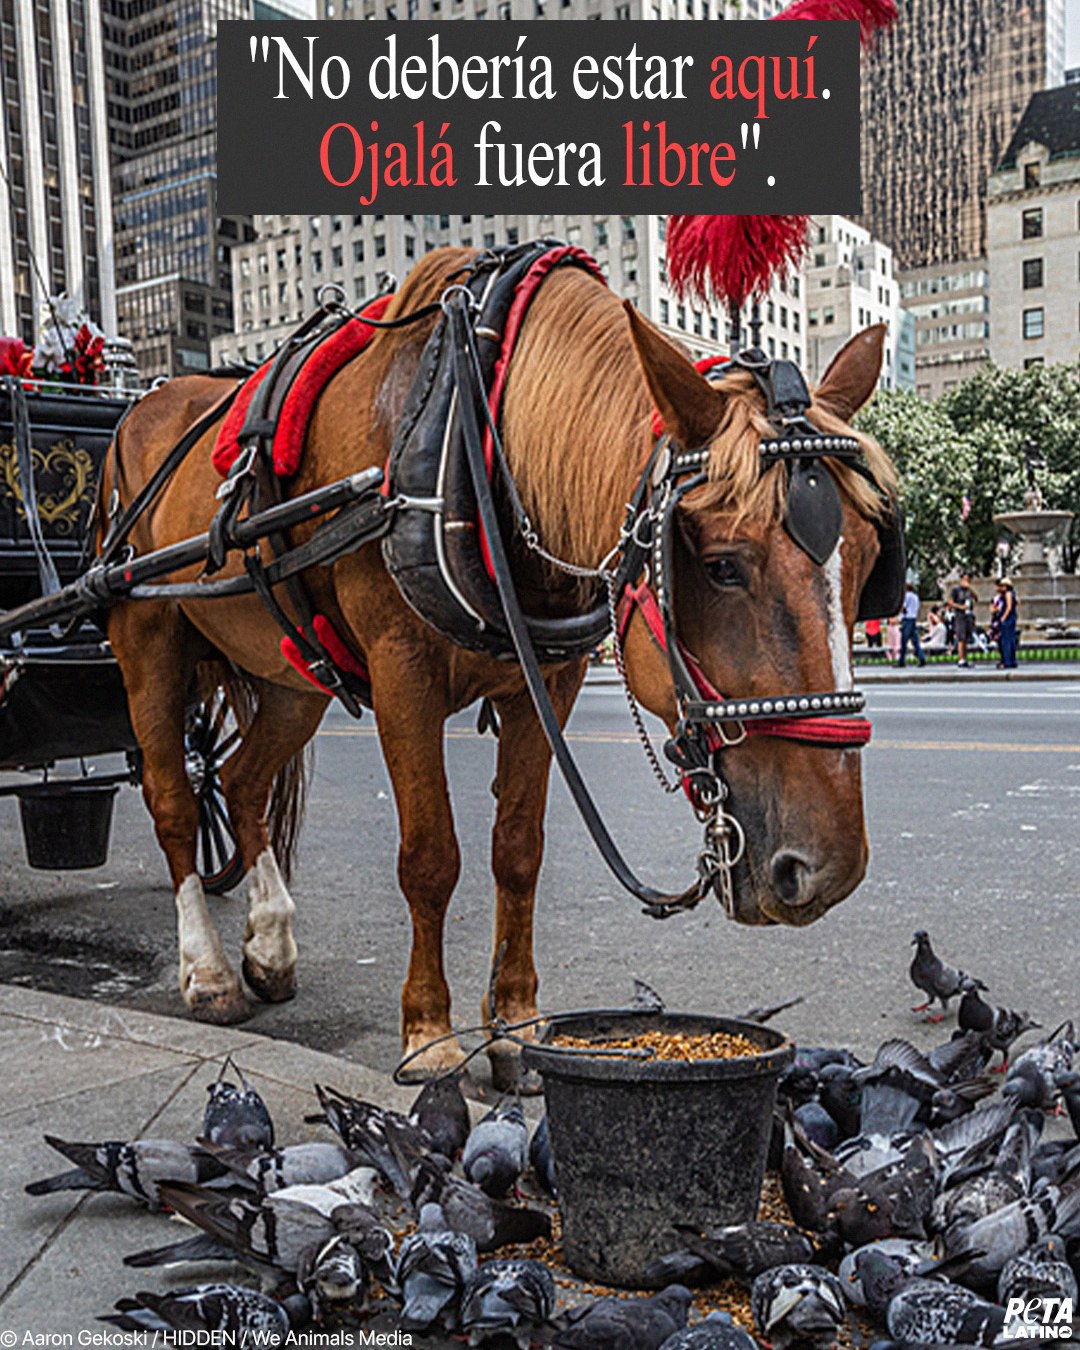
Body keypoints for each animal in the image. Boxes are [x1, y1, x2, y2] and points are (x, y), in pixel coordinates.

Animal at [99, 244, 896, 1085]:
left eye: (870, 559)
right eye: (719, 566)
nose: (829, 868)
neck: (478, 434)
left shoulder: (546, 683)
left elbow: (518, 850)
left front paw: (513, 1024)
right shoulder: (402, 676)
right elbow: (430, 858)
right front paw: (429, 1033)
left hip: (293, 679)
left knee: (244, 781)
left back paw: (271, 945)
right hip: (147, 640)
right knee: (174, 802)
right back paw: (210, 971)